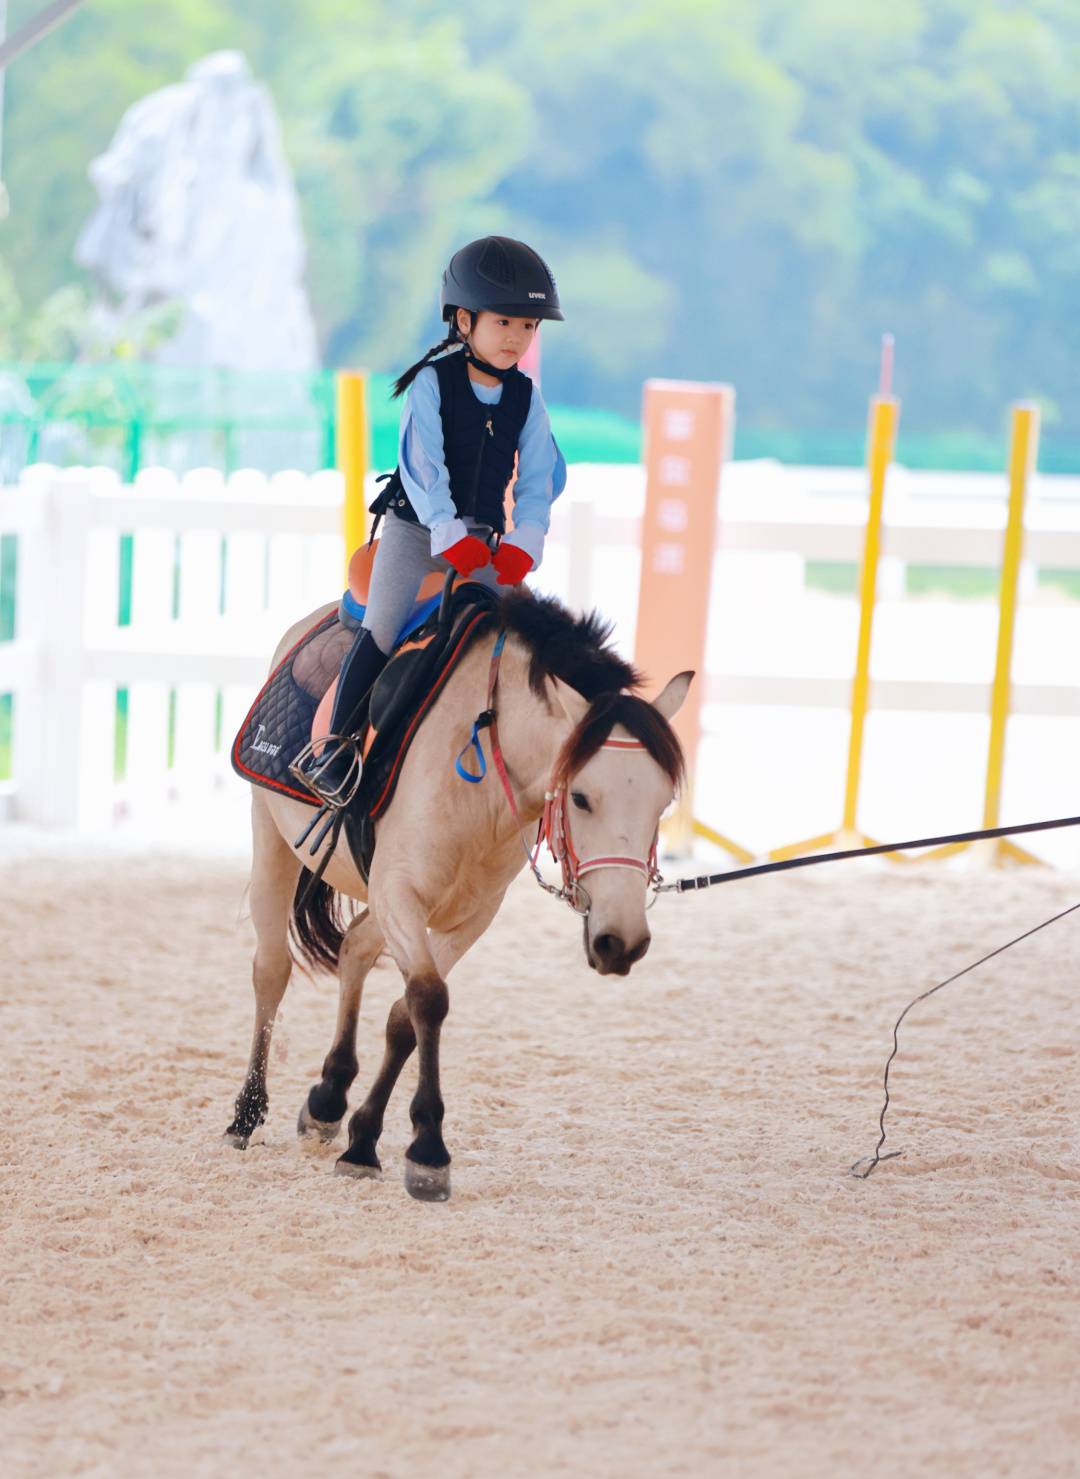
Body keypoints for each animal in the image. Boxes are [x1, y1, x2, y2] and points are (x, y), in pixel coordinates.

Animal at [224, 588, 689, 1200]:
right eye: (582, 797)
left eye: (662, 803)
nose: (623, 941)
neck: (485, 772)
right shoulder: (400, 892)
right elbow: (428, 998)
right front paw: (426, 1149)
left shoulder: (469, 915)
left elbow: (405, 1012)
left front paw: (364, 1137)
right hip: (270, 834)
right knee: (271, 970)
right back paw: (247, 1114)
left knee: (354, 947)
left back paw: (328, 1098)